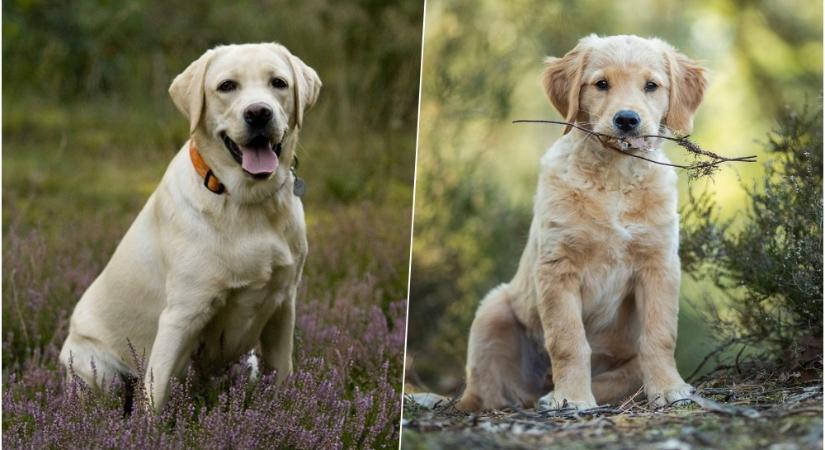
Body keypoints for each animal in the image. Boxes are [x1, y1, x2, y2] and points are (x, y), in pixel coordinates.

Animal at [58, 43, 320, 412]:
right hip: (97, 370)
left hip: (247, 363)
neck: (247, 201)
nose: (258, 113)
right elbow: (155, 399)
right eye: (227, 86)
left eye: (279, 83)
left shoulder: (283, 306)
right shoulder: (182, 315)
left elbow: (283, 376)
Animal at [454, 36, 704, 412]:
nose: (627, 120)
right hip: (493, 310)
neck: (615, 177)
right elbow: (568, 340)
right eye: (601, 84)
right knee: (491, 393)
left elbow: (660, 335)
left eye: (651, 86)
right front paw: (571, 398)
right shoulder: (558, 268)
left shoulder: (658, 264)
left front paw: (669, 388)